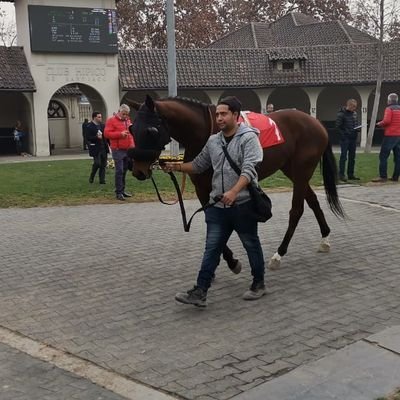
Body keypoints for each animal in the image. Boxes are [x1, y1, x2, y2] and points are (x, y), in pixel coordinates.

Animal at [127, 96, 344, 270]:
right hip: (293, 171)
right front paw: (229, 260)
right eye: (131, 128)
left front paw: (232, 261)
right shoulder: (202, 189)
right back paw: (325, 238)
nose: (138, 170)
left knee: (297, 210)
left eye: (151, 130)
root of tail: (317, 123)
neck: (204, 132)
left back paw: (279, 254)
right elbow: (211, 220)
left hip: (301, 171)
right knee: (313, 200)